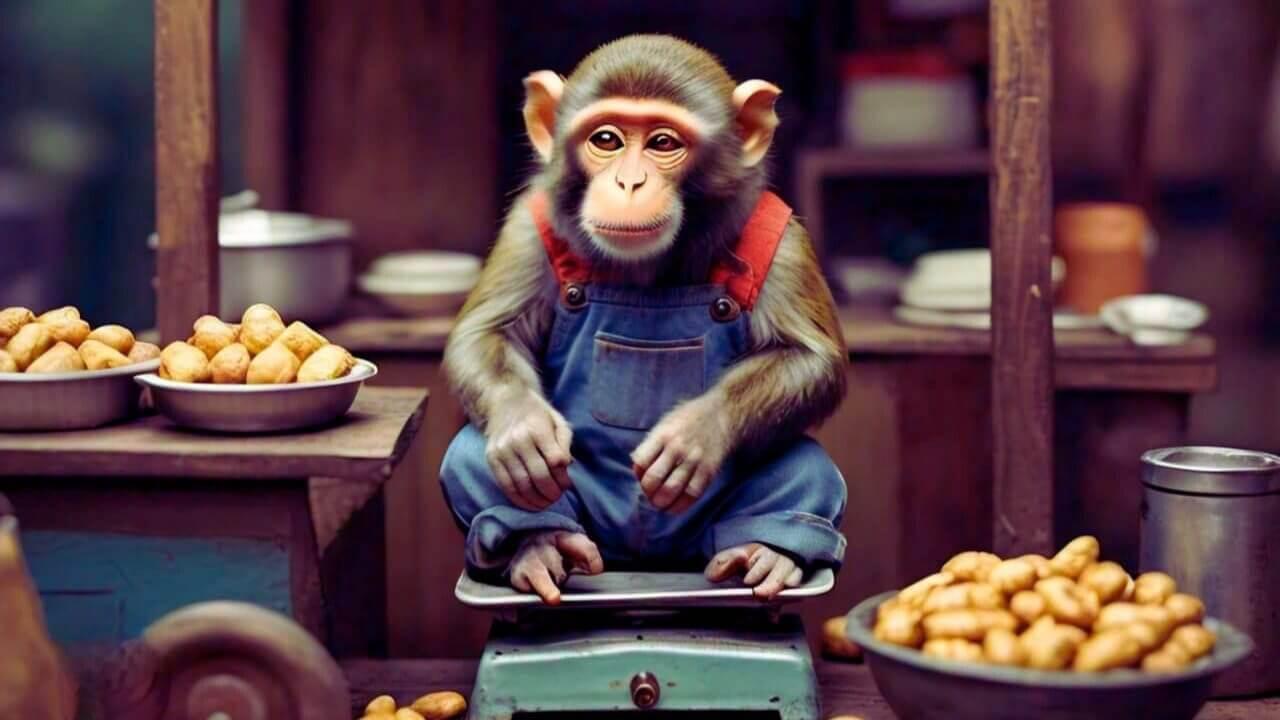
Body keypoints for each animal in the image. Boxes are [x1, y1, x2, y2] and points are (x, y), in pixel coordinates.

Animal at [440, 34, 847, 604]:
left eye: (662, 143)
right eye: (607, 139)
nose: (628, 182)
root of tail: (641, 558)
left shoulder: (781, 237)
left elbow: (811, 358)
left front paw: (697, 432)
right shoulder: (527, 224)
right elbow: (486, 333)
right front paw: (523, 428)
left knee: (806, 467)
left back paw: (765, 551)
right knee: (469, 457)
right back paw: (540, 546)